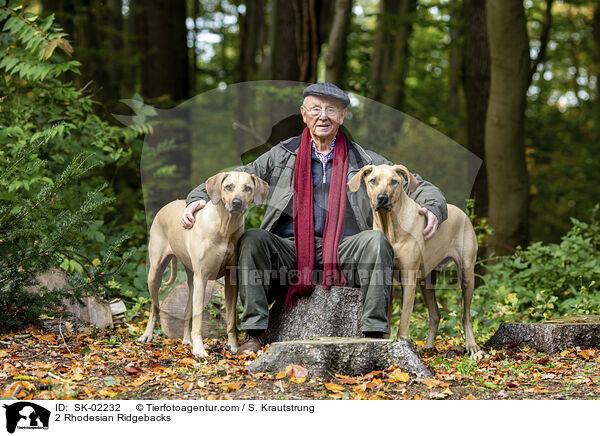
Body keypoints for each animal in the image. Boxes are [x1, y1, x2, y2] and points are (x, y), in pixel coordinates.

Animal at [346, 165, 478, 352]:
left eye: (394, 181)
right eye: (373, 180)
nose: (382, 198)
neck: (390, 227)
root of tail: (462, 212)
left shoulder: (409, 278)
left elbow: (404, 317)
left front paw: (402, 340)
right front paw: (383, 340)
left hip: (467, 274)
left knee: (466, 314)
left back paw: (471, 345)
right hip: (426, 280)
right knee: (435, 314)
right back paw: (428, 346)